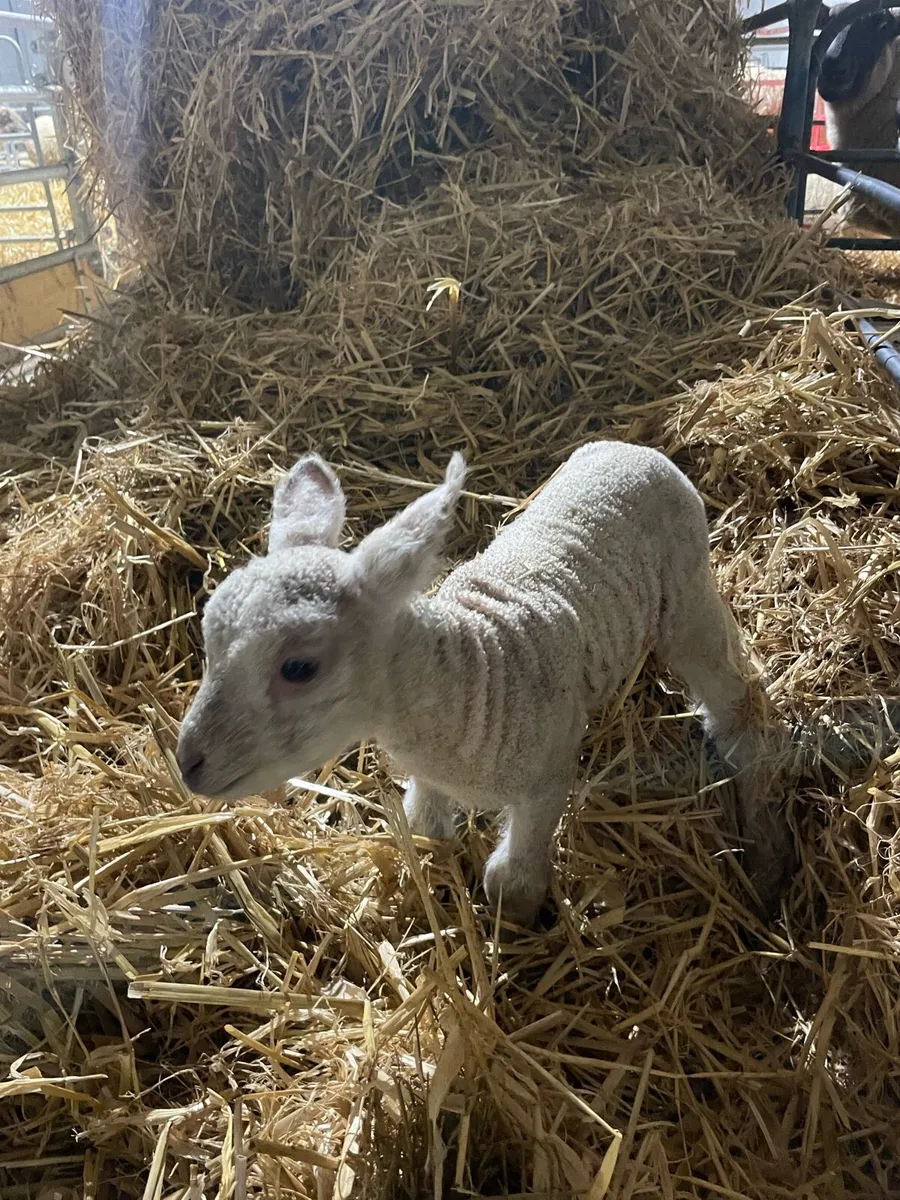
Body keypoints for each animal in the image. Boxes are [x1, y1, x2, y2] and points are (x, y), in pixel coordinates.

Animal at [175, 442, 792, 927]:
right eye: (208, 635)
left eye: (300, 668)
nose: (188, 763)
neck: (474, 673)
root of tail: (636, 449)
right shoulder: (430, 774)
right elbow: (427, 825)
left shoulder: (547, 778)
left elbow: (509, 884)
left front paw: (515, 919)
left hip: (686, 584)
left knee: (731, 685)